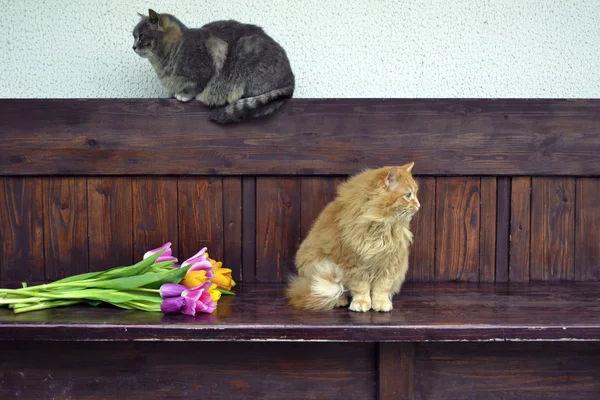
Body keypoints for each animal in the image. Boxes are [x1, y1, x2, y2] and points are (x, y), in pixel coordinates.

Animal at [135, 9, 296, 123]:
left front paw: (184, 94)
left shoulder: (214, 54)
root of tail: (291, 81)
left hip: (247, 51)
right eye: (133, 36)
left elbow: (196, 85)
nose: (133, 46)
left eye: (141, 36)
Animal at [288, 162, 420, 312]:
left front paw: (381, 303)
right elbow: (360, 287)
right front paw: (361, 303)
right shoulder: (354, 262)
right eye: (408, 195)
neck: (380, 225)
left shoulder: (390, 260)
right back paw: (340, 300)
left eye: (415, 194)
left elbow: (382, 287)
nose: (418, 205)